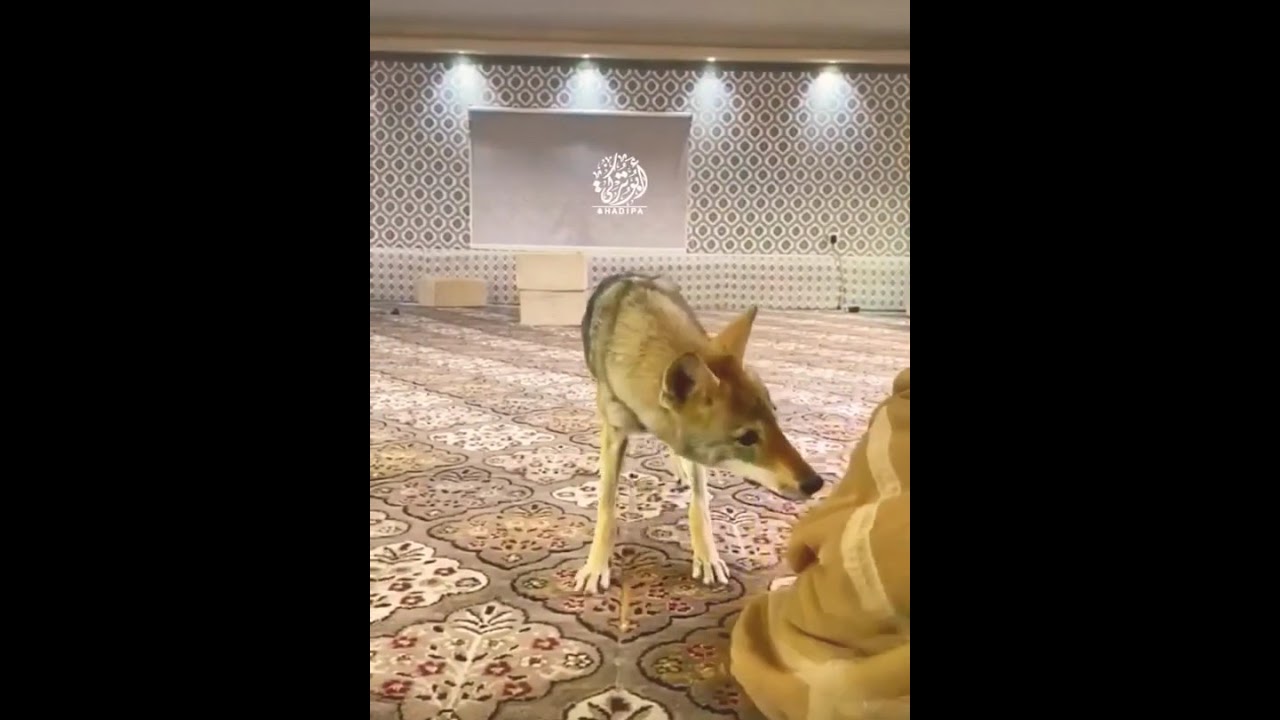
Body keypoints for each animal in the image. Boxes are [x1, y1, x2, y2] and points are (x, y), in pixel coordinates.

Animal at [575, 272, 825, 594]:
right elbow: (606, 509)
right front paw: (596, 567)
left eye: (774, 417)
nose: (816, 483)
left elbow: (700, 505)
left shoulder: (696, 455)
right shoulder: (617, 431)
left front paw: (707, 557)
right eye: (747, 438)